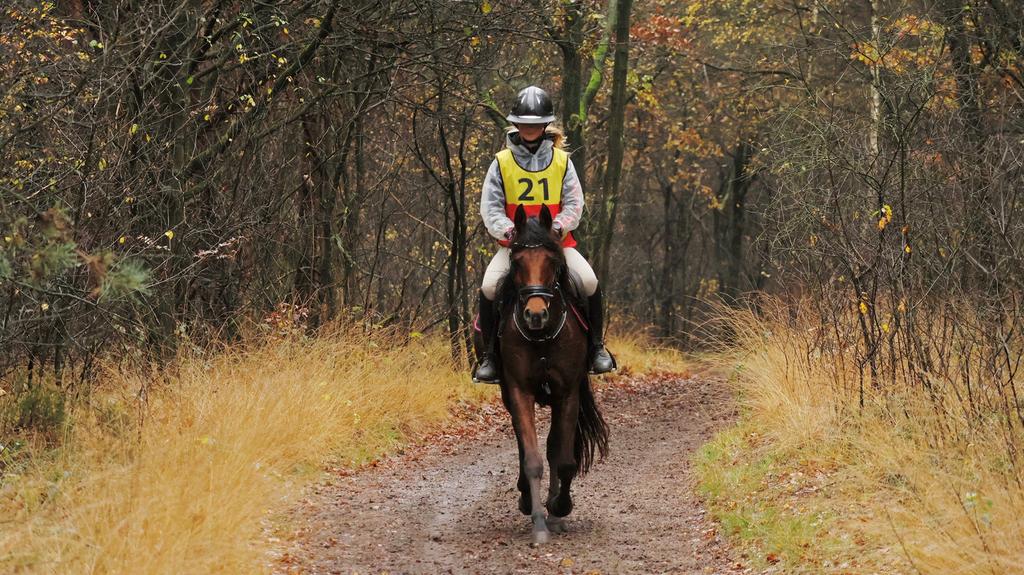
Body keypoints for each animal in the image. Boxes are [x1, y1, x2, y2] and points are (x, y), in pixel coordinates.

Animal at [477, 204, 610, 546]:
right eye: (517, 262)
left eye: (552, 262)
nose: (535, 315)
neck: (543, 336)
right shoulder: (518, 391)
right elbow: (533, 459)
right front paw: (538, 522)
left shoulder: (568, 392)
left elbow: (562, 459)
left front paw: (559, 508)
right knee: (526, 448)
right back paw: (528, 499)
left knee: (553, 448)